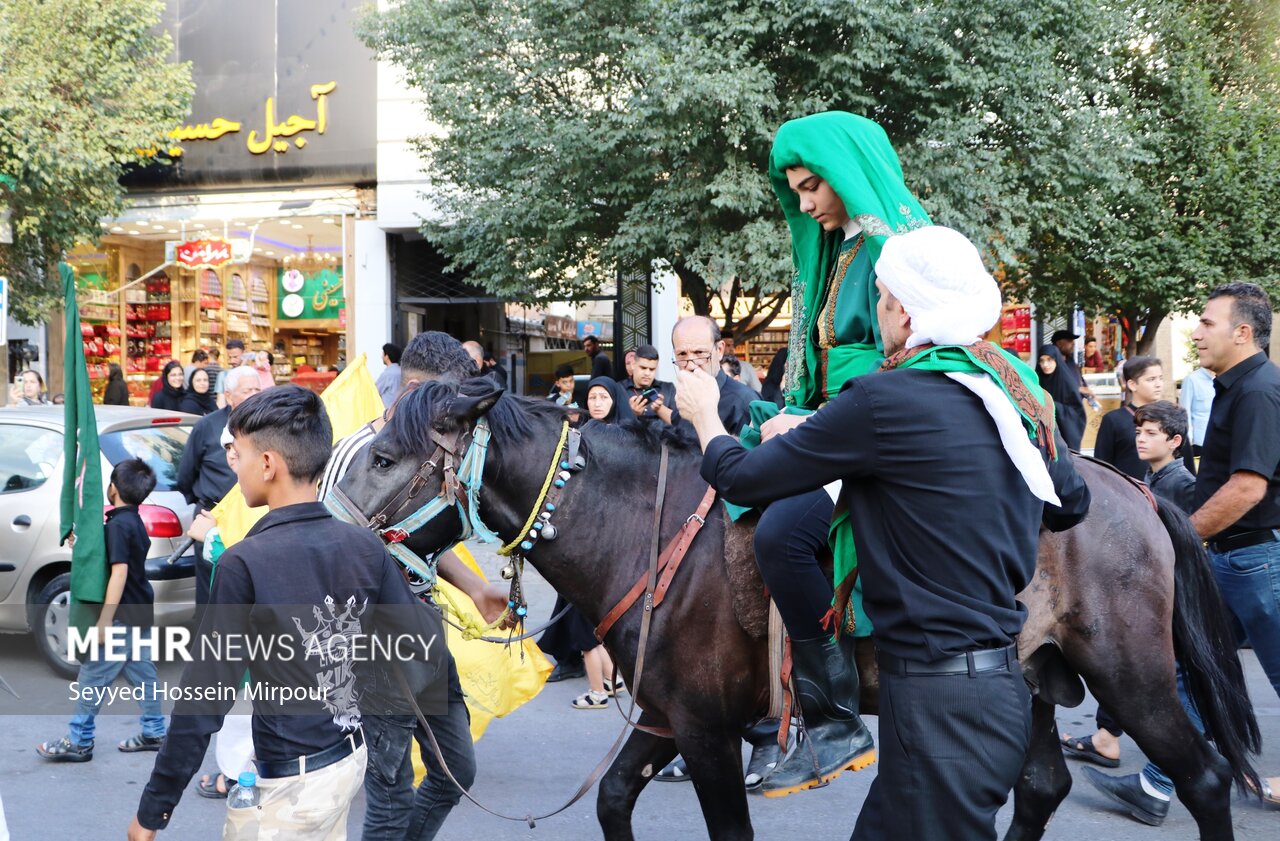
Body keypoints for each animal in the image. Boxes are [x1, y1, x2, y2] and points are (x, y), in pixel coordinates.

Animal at [337, 381, 1259, 839]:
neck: (643, 529)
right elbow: (611, 801)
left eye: (384, 458)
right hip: (1035, 674)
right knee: (1041, 786)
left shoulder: (706, 730)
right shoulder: (668, 714)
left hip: (1132, 673)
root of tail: (1134, 488)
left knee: (1207, 777)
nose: (328, 539)